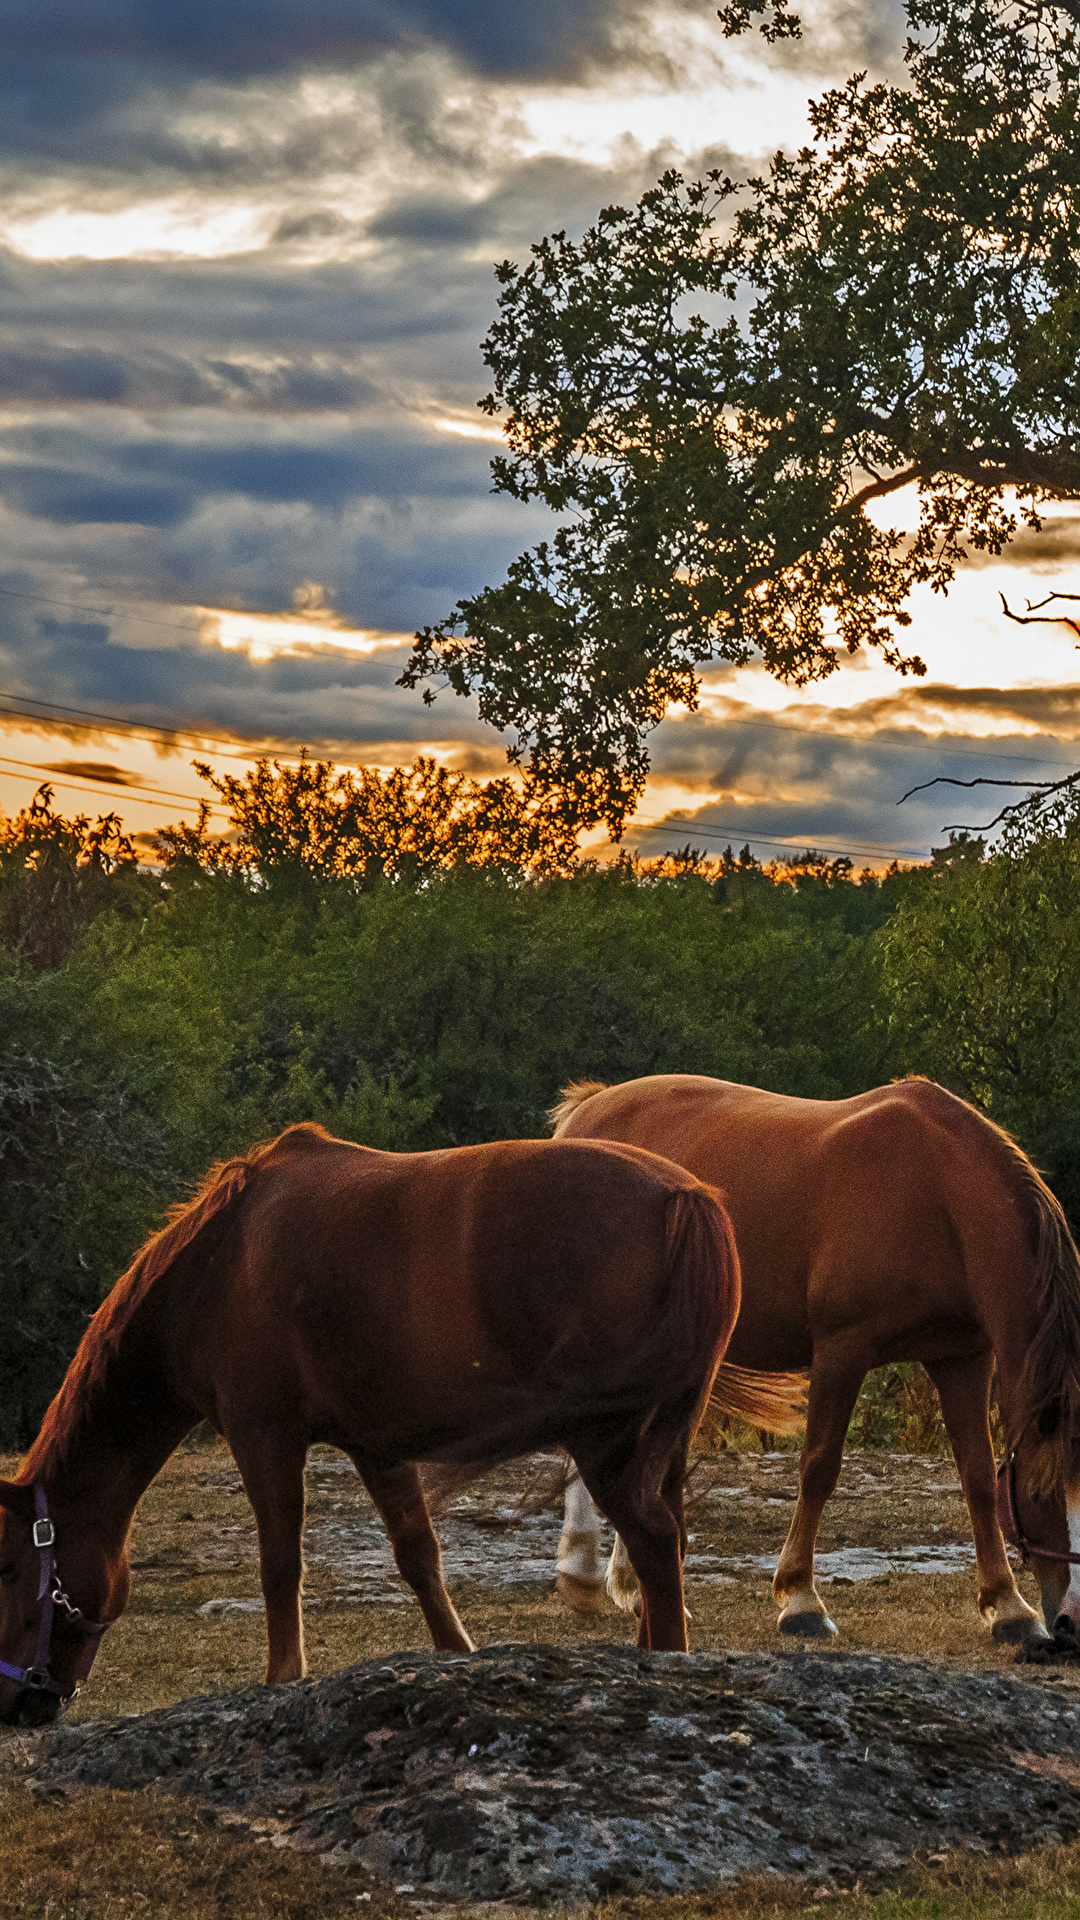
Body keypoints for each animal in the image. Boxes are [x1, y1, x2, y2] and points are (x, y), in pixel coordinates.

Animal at [0, 1121, 768, 1735]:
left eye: (10, 1569)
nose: (20, 1708)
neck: (219, 1263)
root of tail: (685, 1197)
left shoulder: (264, 1436)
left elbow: (280, 1564)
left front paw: (283, 1680)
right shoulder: (377, 1447)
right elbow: (418, 1557)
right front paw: (457, 1656)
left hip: (606, 1441)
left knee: (655, 1539)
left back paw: (666, 1665)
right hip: (662, 1439)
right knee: (667, 1536)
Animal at [549, 1075, 1076, 1643]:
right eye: (1042, 1493)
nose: (1069, 1622)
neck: (937, 1193)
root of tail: (587, 1108)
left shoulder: (963, 1359)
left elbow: (977, 1476)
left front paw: (1009, 1607)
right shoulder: (842, 1350)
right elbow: (819, 1468)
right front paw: (801, 1599)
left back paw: (630, 1585)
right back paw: (581, 1574)